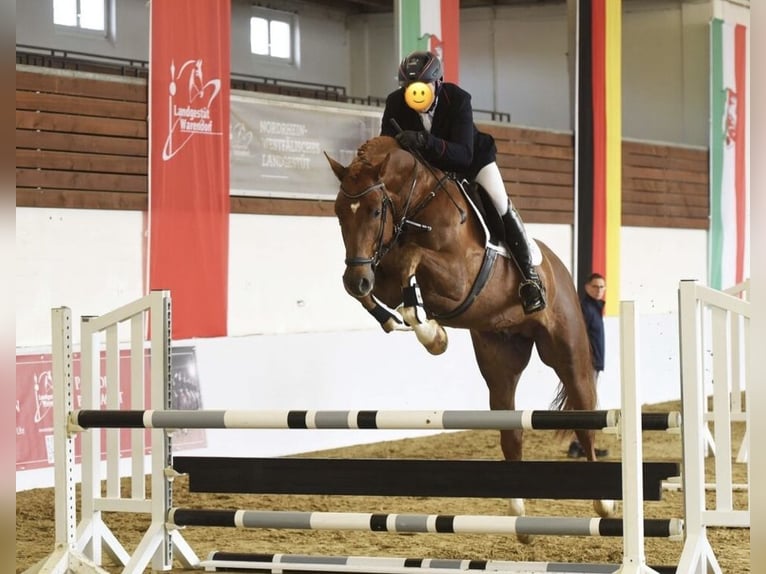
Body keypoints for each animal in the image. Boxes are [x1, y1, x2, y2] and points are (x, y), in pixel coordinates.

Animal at [328, 134, 616, 536]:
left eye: (373, 211)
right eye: (340, 212)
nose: (355, 278)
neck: (417, 203)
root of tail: (559, 268)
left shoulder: (458, 277)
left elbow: (411, 259)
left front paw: (431, 332)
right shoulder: (380, 272)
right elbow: (386, 286)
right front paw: (420, 328)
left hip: (567, 353)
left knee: (585, 417)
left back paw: (603, 504)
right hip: (500, 362)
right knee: (511, 431)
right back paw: (519, 517)